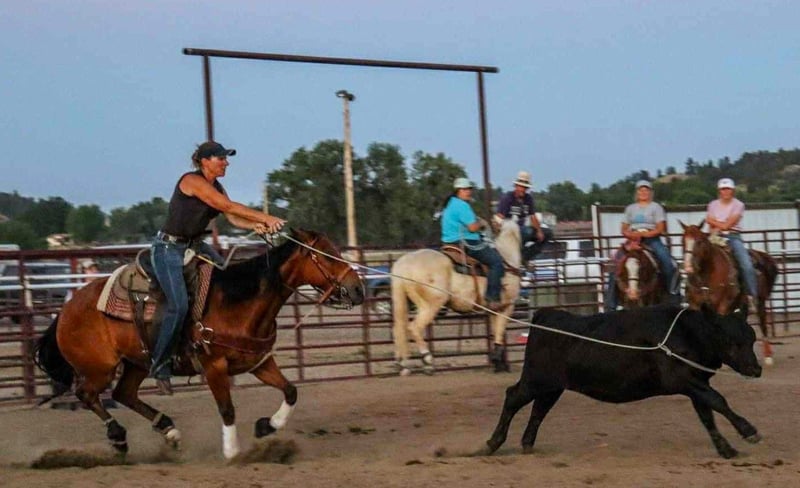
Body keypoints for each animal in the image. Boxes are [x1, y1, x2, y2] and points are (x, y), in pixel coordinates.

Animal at [34, 229, 364, 459]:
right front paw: (232, 452)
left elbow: (291, 391)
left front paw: (266, 426)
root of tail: (67, 307)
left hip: (138, 361)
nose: (358, 289)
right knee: (87, 394)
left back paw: (169, 431)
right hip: (100, 367)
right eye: (327, 255)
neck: (238, 301)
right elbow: (227, 409)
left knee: (123, 393)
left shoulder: (258, 362)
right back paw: (118, 437)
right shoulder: (214, 366)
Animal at [390, 219, 522, 375]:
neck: (507, 261)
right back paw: (427, 361)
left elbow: (496, 333)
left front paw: (498, 363)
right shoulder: (506, 307)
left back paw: (402, 364)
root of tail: (404, 264)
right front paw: (499, 363)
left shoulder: (493, 311)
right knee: (414, 327)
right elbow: (500, 333)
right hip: (430, 304)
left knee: (399, 329)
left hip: (403, 301)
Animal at [485, 305, 762, 459]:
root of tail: (547, 317)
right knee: (513, 397)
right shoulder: (685, 380)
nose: (756, 368)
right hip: (535, 380)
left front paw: (726, 449)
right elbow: (718, 401)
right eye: (731, 341)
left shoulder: (695, 384)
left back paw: (527, 444)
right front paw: (749, 431)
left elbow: (708, 416)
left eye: (752, 338)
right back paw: (492, 443)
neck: (689, 333)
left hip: (552, 387)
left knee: (538, 410)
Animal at [679, 220, 778, 364]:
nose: (687, 267)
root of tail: (761, 256)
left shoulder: (723, 305)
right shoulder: (695, 305)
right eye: (682, 241)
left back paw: (768, 357)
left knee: (763, 322)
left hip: (759, 300)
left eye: (699, 241)